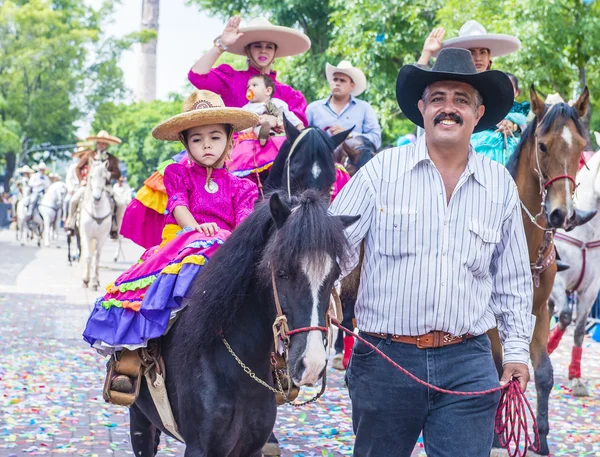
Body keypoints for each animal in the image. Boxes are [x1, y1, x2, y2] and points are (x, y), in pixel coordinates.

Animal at [79, 159, 112, 288]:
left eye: (105, 178)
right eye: (91, 176)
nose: (97, 198)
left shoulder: (102, 237)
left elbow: (97, 257)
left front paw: (93, 281)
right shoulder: (86, 235)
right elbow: (88, 256)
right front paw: (85, 280)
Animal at [129, 191, 358, 454]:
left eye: (334, 276)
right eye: (282, 272)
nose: (312, 364)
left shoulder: (252, 448)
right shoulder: (200, 448)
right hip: (140, 418)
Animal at [492, 85, 592, 456]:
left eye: (580, 148)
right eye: (543, 145)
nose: (561, 214)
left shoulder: (538, 309)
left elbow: (544, 373)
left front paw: (542, 437)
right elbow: (498, 367)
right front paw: (497, 435)